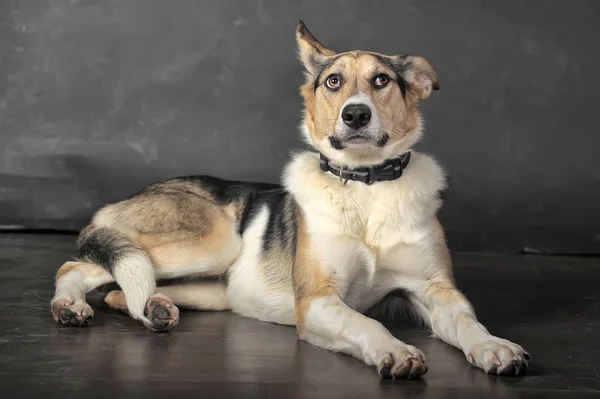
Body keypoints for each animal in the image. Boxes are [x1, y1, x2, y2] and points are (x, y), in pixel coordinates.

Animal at [50, 21, 528, 378]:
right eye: (333, 81)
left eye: (382, 81)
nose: (356, 114)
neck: (366, 186)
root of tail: (137, 193)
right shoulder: (317, 301)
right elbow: (365, 320)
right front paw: (395, 350)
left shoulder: (435, 290)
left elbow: (467, 319)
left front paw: (494, 345)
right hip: (213, 242)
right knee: (78, 266)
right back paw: (70, 306)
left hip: (214, 287)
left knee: (121, 292)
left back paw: (155, 307)